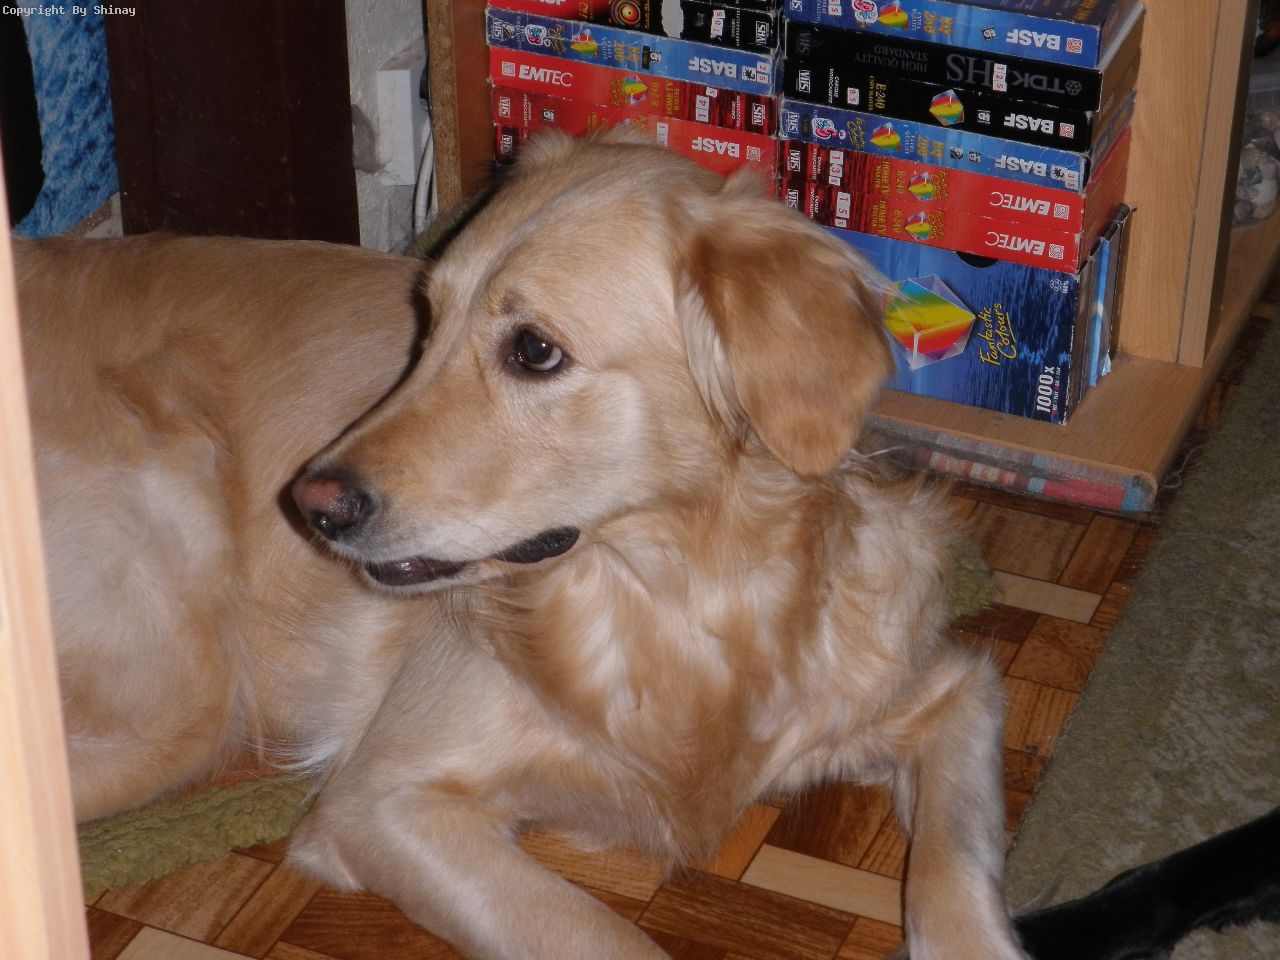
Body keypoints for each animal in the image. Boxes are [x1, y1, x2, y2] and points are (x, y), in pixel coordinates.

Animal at [20, 131, 1027, 960]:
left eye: (535, 350)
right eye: (427, 319)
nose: (315, 505)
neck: (679, 602)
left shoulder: (946, 692)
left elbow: (953, 871)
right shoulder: (380, 802)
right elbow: (606, 939)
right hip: (178, 697)